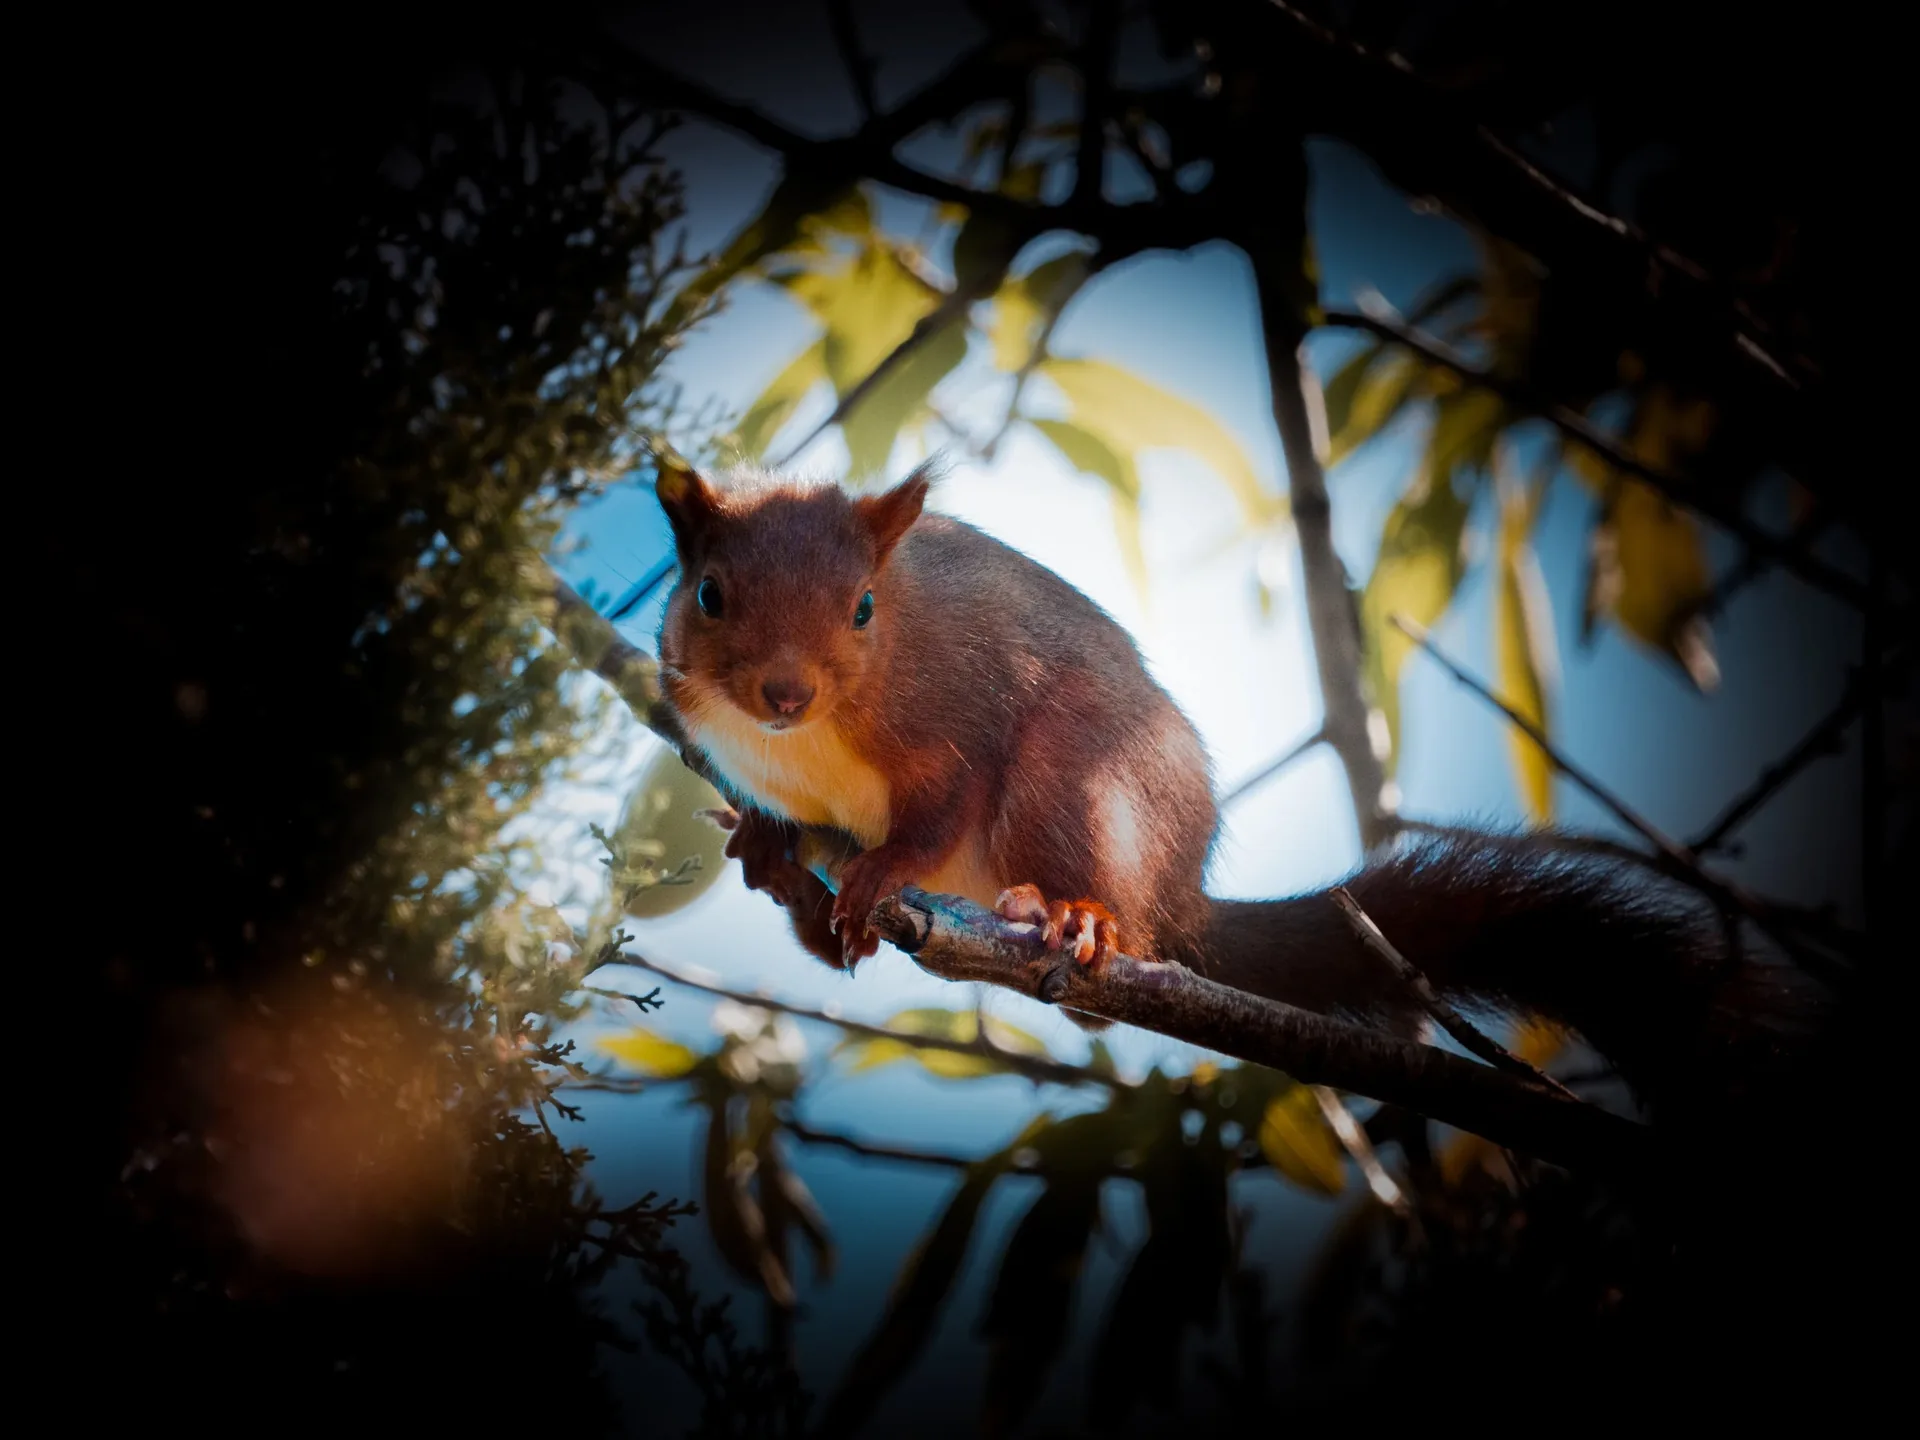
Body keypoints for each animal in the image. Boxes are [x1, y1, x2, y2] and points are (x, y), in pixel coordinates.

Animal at [653, 459, 1833, 1110]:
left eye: (862, 607)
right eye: (707, 593)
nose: (785, 692)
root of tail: (1184, 896)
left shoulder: (958, 714)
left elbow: (937, 807)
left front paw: (877, 871)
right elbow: (787, 814)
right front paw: (771, 840)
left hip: (1079, 779)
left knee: (1092, 882)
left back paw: (1080, 922)